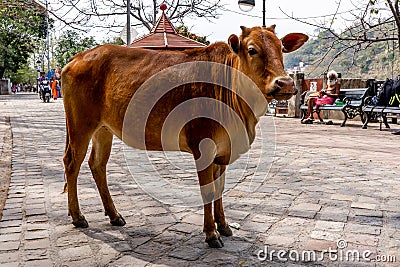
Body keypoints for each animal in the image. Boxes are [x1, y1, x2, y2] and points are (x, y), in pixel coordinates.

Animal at [62, 25, 308, 249]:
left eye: (281, 48)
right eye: (252, 50)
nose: (285, 83)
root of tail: (76, 58)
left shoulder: (222, 151)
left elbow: (220, 188)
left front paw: (224, 226)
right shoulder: (203, 148)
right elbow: (208, 191)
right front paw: (211, 234)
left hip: (104, 129)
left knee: (97, 164)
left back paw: (114, 215)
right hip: (80, 125)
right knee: (72, 163)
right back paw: (78, 216)